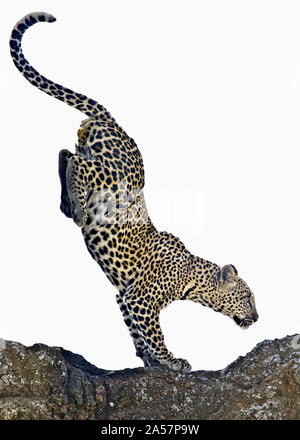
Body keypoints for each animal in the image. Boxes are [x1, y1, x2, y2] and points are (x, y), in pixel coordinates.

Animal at [9, 12, 258, 372]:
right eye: (248, 297)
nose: (257, 316)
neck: (192, 277)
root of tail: (116, 124)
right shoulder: (142, 299)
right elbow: (155, 333)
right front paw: (172, 361)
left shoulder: (124, 296)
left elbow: (135, 331)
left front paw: (149, 360)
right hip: (113, 178)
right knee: (76, 164)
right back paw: (78, 209)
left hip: (91, 153)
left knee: (64, 152)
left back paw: (66, 204)